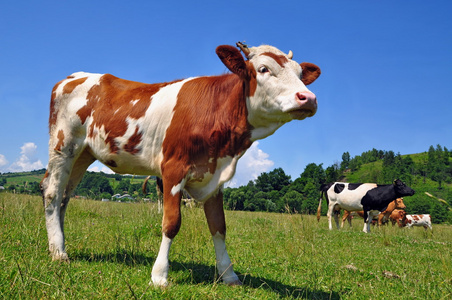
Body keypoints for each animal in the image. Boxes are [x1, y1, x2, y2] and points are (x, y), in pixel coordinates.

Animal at [39, 41, 322, 286]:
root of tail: (74, 76)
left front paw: (228, 275)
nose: (308, 98)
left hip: (83, 154)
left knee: (65, 196)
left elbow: (219, 226)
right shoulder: (173, 170)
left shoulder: (215, 176)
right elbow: (171, 223)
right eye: (264, 69)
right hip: (63, 145)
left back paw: (57, 245)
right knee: (52, 192)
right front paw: (159, 275)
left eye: (300, 73)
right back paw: (59, 253)